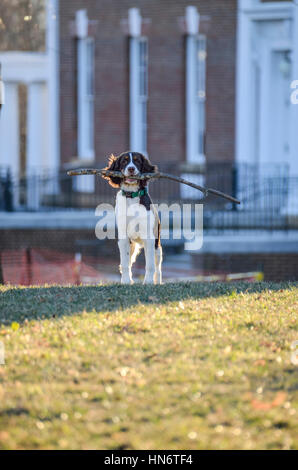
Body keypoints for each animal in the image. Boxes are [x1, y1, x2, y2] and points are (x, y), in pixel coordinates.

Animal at [103, 152, 163, 284]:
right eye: (124, 161)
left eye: (137, 161)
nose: (131, 169)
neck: (132, 196)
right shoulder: (123, 238)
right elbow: (125, 263)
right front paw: (125, 281)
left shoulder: (149, 237)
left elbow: (150, 265)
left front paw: (148, 282)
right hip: (132, 246)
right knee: (128, 262)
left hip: (157, 246)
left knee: (157, 266)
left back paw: (158, 281)